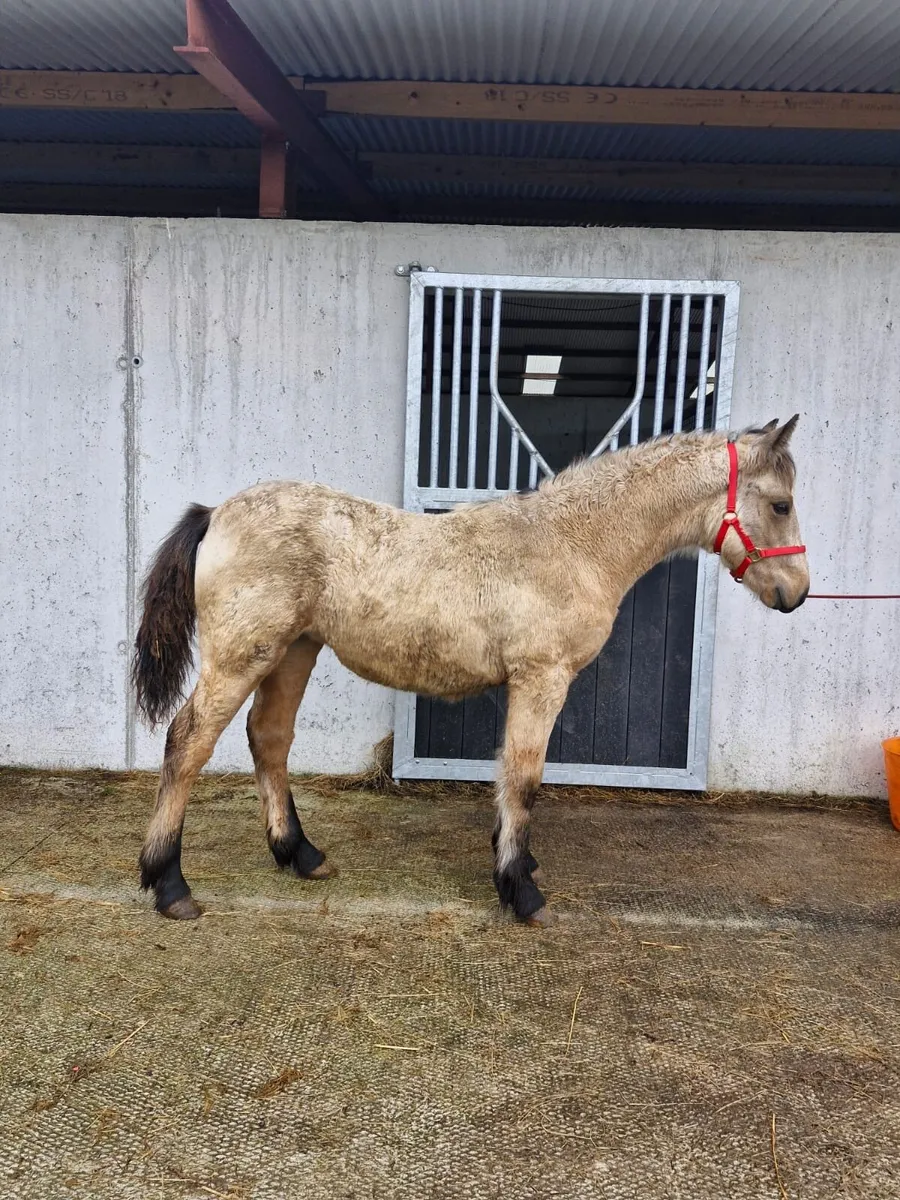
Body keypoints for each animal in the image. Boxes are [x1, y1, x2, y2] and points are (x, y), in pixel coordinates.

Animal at [133, 417, 808, 926]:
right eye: (780, 504)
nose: (797, 593)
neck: (572, 541)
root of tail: (218, 512)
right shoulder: (542, 677)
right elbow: (524, 778)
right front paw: (521, 891)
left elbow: (509, 774)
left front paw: (516, 865)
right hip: (242, 656)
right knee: (187, 742)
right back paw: (169, 885)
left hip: (294, 650)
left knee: (269, 738)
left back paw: (299, 854)